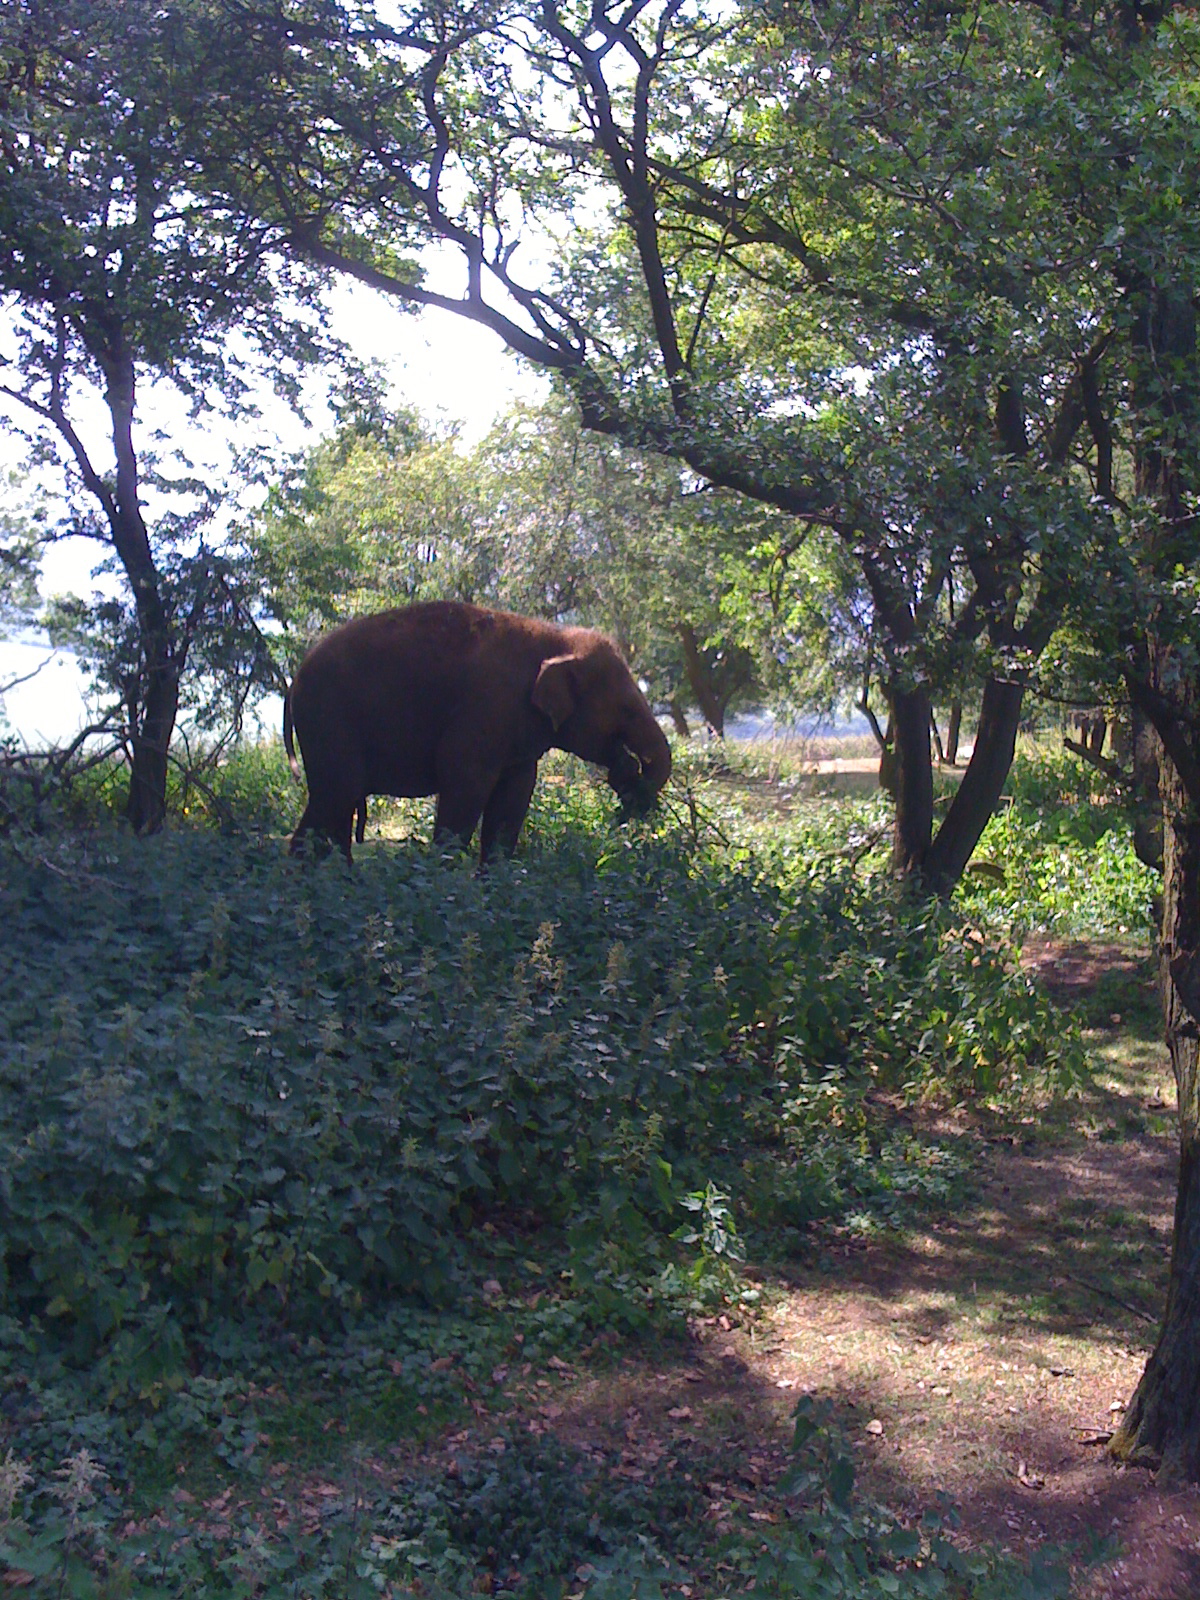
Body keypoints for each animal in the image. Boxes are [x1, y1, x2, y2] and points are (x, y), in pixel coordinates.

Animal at [283, 601, 672, 863]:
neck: (556, 637)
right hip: (328, 718)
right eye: (627, 709)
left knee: (333, 805)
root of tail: (293, 682)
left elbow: (514, 797)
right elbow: (465, 782)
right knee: (337, 795)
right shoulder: (484, 709)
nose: (628, 771)